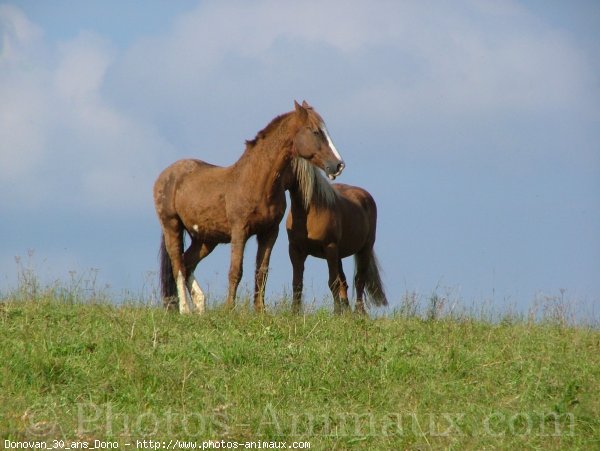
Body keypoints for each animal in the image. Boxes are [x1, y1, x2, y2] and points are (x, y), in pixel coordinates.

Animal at [152, 101, 344, 314]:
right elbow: (235, 271)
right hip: (172, 226)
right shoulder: (239, 231)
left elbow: (261, 271)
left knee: (187, 263)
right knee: (178, 265)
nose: (338, 165)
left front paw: (260, 311)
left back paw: (201, 306)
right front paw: (229, 309)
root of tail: (166, 174)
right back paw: (185, 310)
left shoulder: (269, 233)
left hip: (205, 239)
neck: (256, 182)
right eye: (315, 131)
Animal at [284, 159, 386, 314]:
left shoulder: (330, 248)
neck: (311, 211)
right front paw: (294, 312)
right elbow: (297, 283)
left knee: (359, 280)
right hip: (339, 255)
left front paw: (336, 312)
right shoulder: (295, 250)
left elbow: (333, 282)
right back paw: (347, 312)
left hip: (364, 249)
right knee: (344, 282)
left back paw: (359, 312)